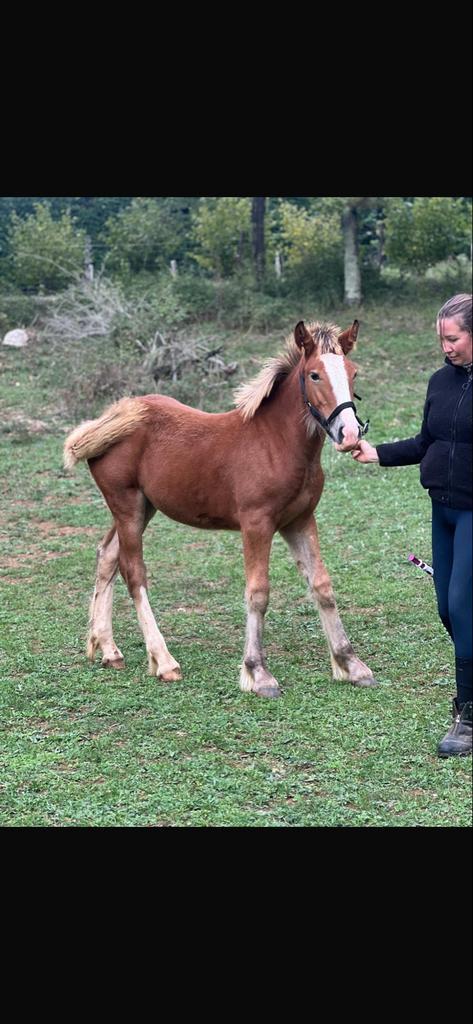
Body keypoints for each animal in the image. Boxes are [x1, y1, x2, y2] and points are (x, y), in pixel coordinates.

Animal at [64, 318, 378, 697]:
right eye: (315, 374)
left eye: (353, 372)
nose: (349, 434)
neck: (275, 443)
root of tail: (108, 420)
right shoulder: (256, 523)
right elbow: (258, 593)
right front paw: (258, 673)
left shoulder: (300, 519)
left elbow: (322, 586)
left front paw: (351, 664)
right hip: (127, 505)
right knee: (132, 570)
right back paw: (164, 661)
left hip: (142, 507)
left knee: (108, 555)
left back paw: (109, 649)